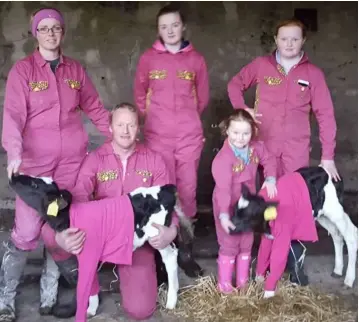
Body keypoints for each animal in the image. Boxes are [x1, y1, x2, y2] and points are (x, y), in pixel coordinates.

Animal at [9, 175, 194, 320]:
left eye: (34, 185)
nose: (14, 176)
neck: (70, 216)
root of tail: (166, 187)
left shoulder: (90, 252)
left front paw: (86, 308)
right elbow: (90, 281)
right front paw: (91, 308)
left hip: (157, 234)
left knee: (170, 257)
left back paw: (171, 301)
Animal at [229, 166, 358, 296]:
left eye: (248, 217)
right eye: (235, 210)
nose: (230, 227)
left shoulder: (283, 233)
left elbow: (278, 258)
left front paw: (268, 294)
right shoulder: (267, 237)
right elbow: (263, 254)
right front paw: (259, 280)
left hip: (336, 211)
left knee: (351, 235)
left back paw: (348, 280)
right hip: (322, 215)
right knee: (336, 235)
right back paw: (337, 270)